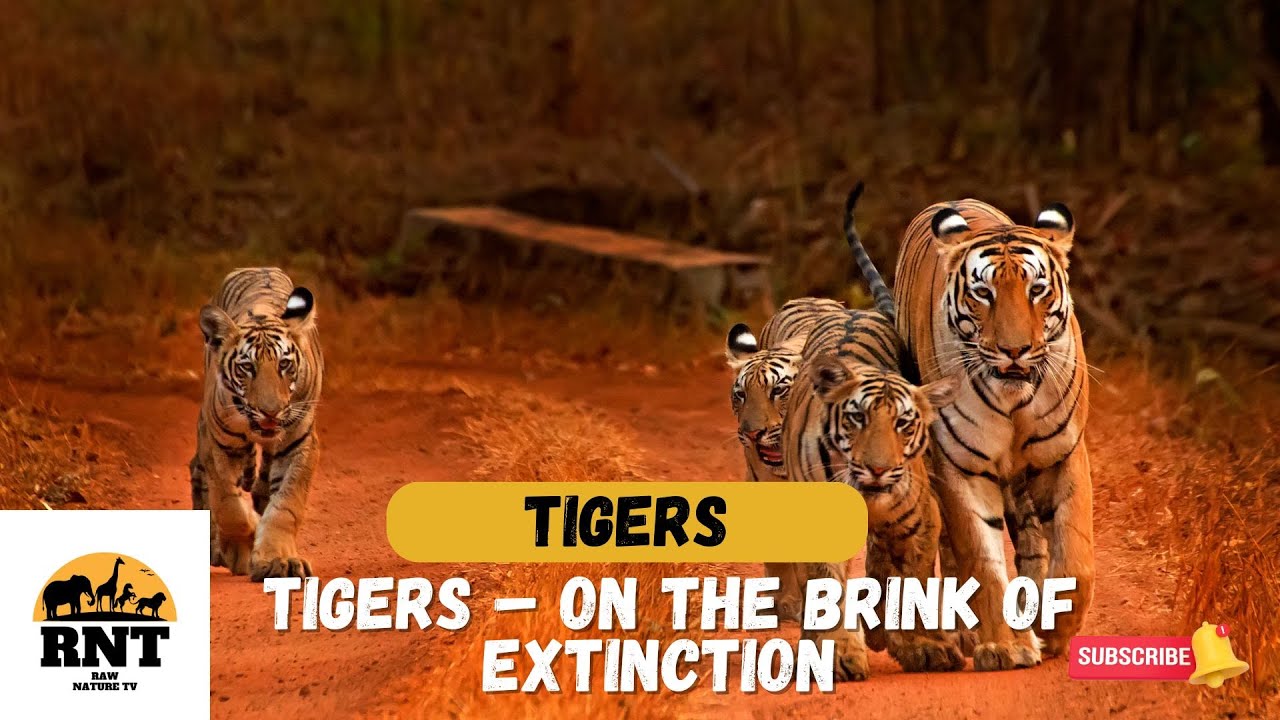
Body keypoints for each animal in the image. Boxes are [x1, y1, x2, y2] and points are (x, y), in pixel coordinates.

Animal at [189, 267, 323, 581]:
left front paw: (278, 559)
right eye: (247, 367)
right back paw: (215, 549)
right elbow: (228, 503)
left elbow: (286, 504)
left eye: (284, 365)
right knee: (199, 474)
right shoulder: (221, 445)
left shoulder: (300, 444)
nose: (270, 412)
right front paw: (242, 550)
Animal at [892, 198, 1093, 671]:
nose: (1014, 350)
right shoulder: (961, 466)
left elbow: (1076, 555)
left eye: (1037, 290)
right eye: (983, 293)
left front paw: (1056, 630)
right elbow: (981, 559)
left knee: (1033, 539)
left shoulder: (1064, 454)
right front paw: (1003, 646)